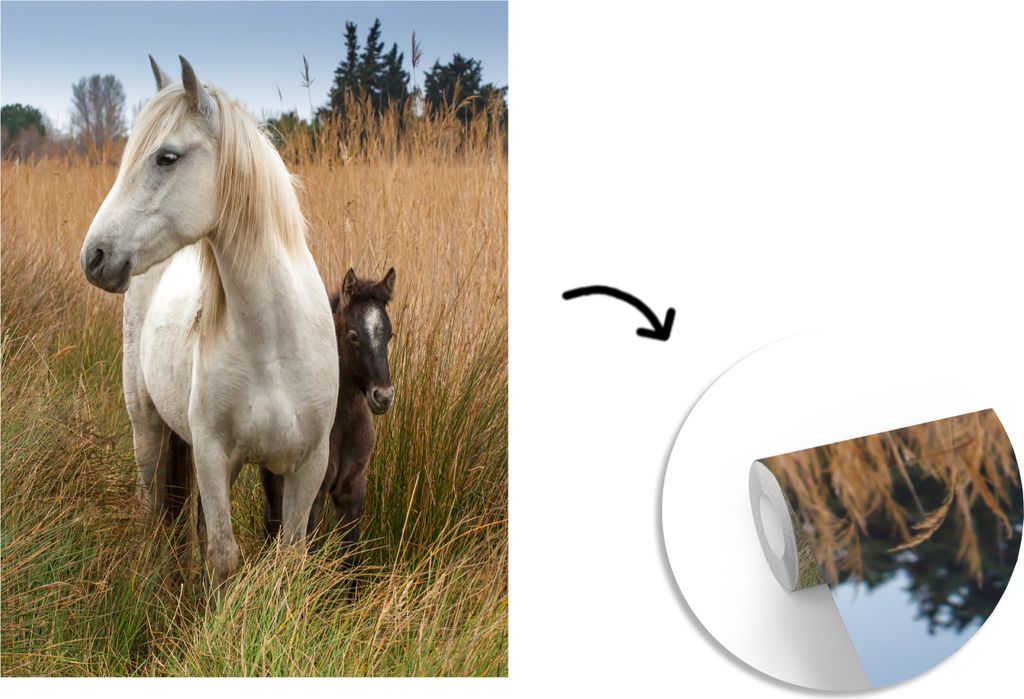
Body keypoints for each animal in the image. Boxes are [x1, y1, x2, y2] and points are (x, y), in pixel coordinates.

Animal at [79, 56, 339, 591]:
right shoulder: (213, 457)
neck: (272, 343)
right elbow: (222, 556)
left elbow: (288, 558)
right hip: (147, 426)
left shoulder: (307, 465)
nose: (94, 257)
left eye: (167, 157)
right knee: (155, 509)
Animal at [260, 268, 396, 571]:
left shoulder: (352, 490)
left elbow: (352, 560)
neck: (343, 424)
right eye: (354, 336)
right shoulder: (315, 493)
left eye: (390, 335)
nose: (383, 397)